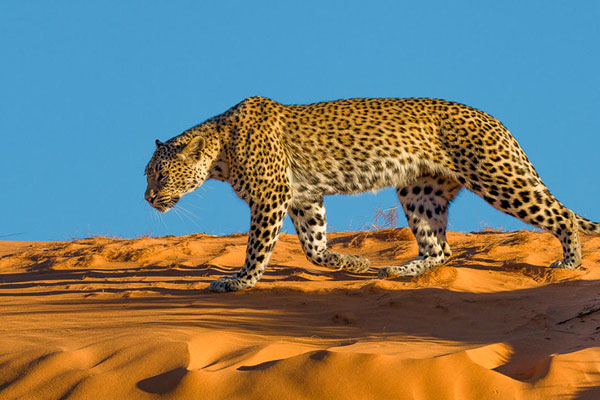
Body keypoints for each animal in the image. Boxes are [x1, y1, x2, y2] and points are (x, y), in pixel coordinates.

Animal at [143, 95, 596, 292]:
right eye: (147, 175)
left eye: (159, 175)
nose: (147, 198)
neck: (220, 153)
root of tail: (496, 120)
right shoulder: (303, 197)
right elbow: (313, 246)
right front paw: (351, 262)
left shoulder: (272, 196)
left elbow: (258, 246)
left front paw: (240, 281)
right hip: (419, 192)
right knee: (441, 249)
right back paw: (400, 270)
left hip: (498, 177)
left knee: (563, 216)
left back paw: (569, 263)